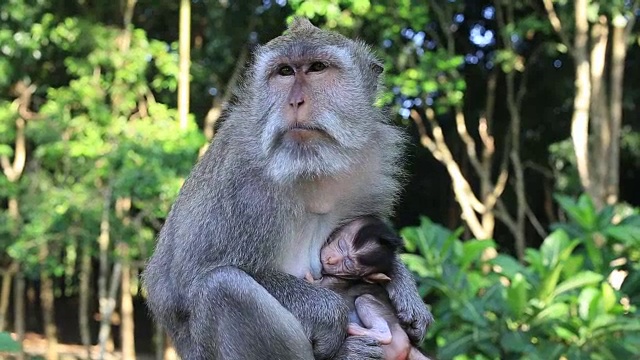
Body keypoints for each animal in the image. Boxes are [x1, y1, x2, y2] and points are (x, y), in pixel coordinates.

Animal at [141, 17, 430, 360]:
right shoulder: (236, 180)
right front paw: (330, 312)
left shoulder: (372, 167)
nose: (295, 101)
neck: (309, 167)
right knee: (221, 288)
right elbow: (185, 279)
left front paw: (404, 285)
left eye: (317, 68)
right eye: (285, 72)